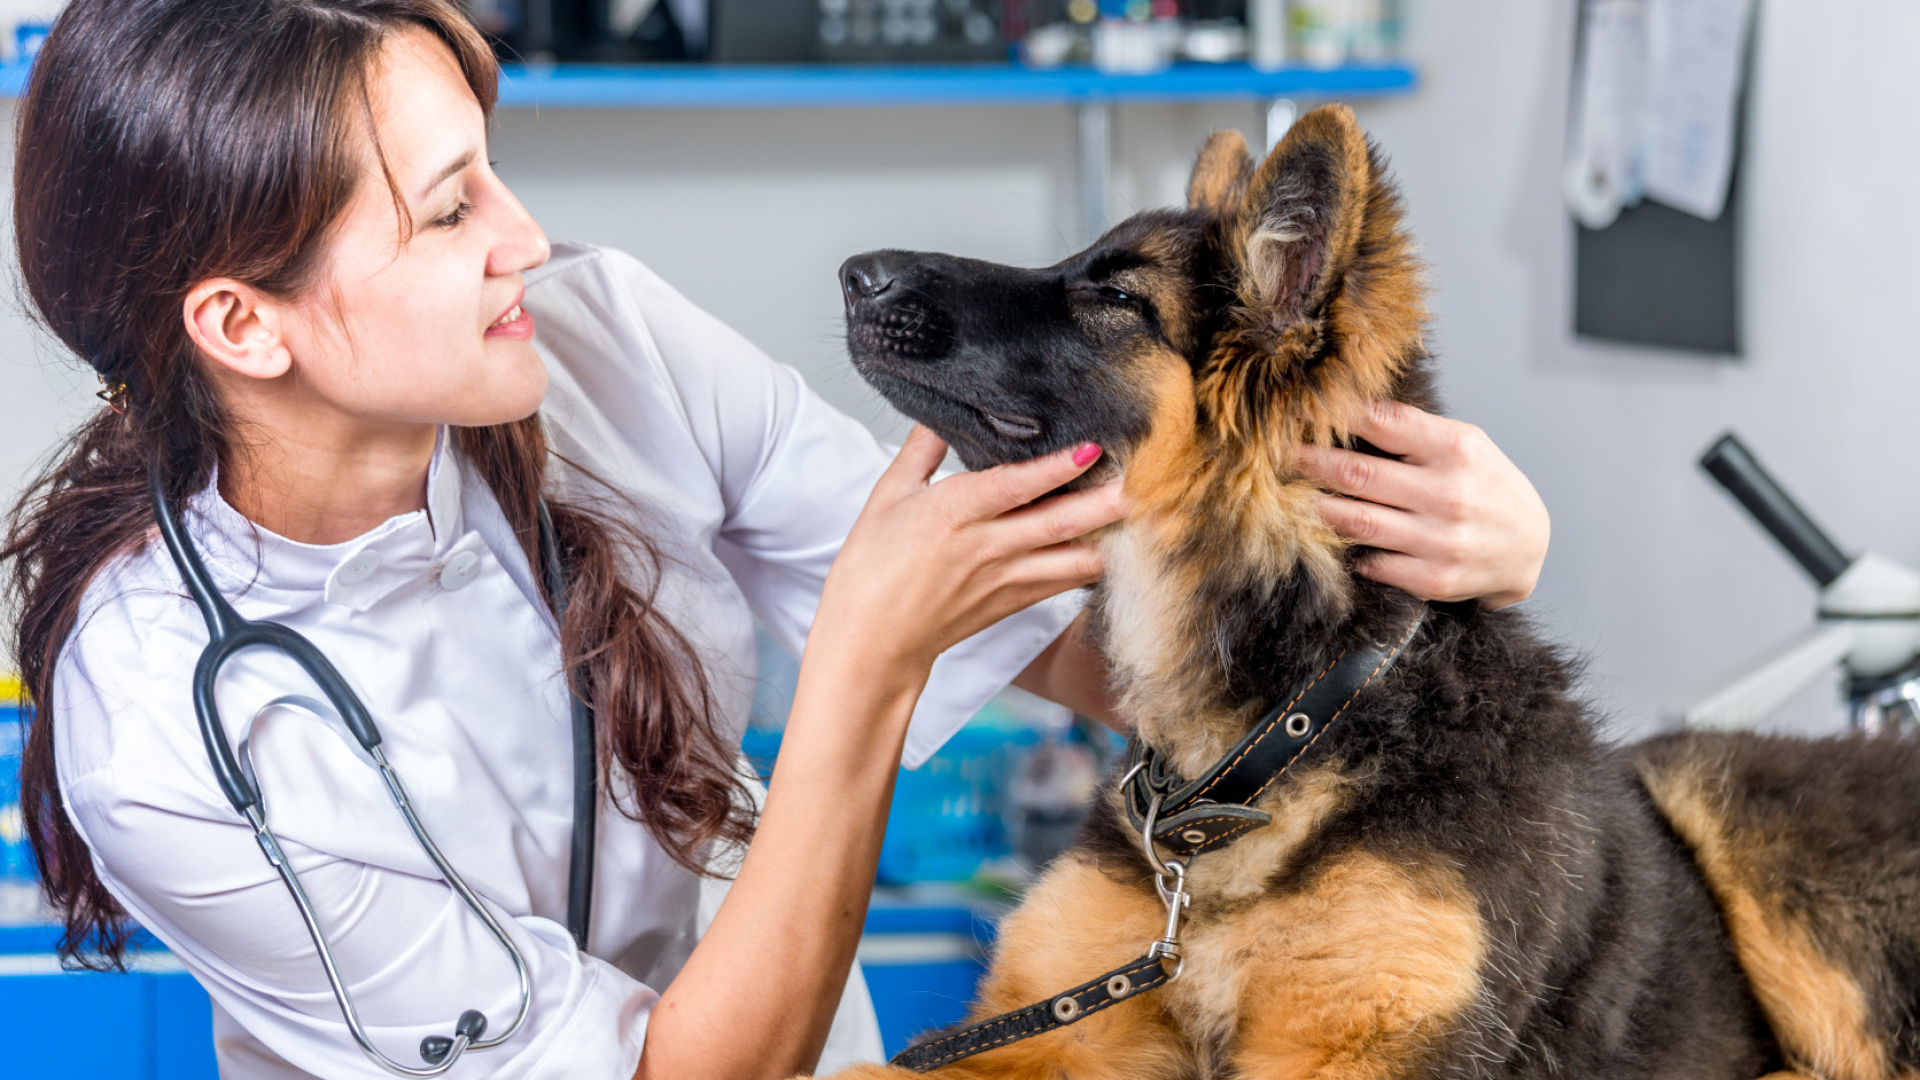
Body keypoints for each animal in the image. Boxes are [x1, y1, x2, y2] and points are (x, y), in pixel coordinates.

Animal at [833, 102, 1920, 1076]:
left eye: (1120, 300)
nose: (854, 272)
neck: (1276, 739)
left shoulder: (1361, 1049)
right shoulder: (1049, 1031)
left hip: (1733, 803)